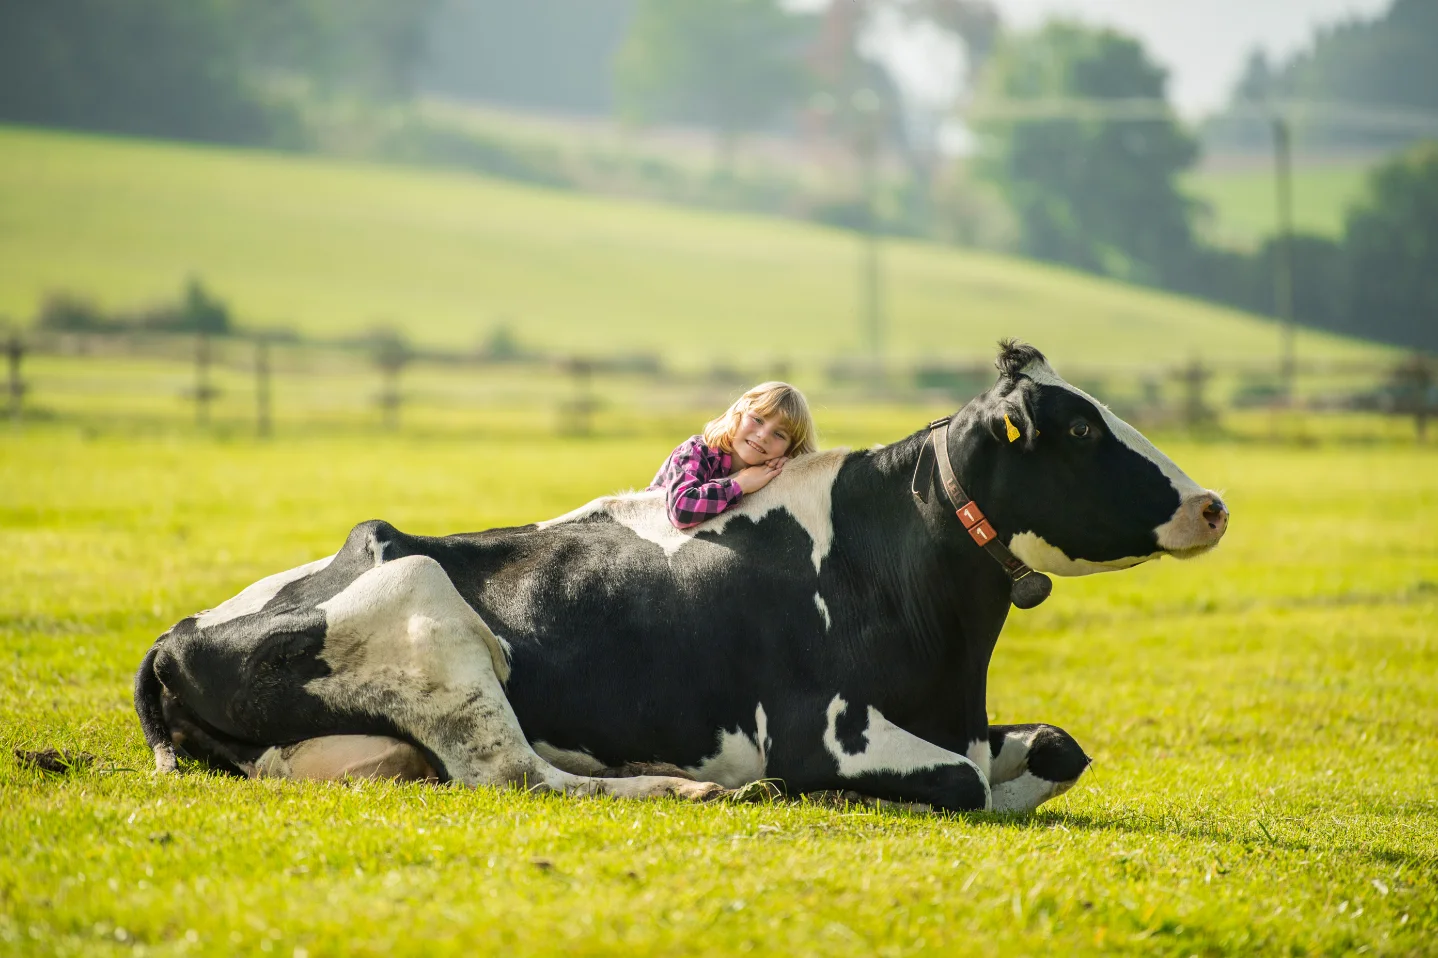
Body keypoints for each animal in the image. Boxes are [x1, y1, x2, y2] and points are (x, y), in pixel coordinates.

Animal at [133, 341, 1229, 813]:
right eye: (1080, 429)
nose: (1213, 502)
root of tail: (175, 631)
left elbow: (1055, 747)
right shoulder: (823, 732)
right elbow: (958, 782)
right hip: (426, 610)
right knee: (515, 771)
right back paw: (689, 786)